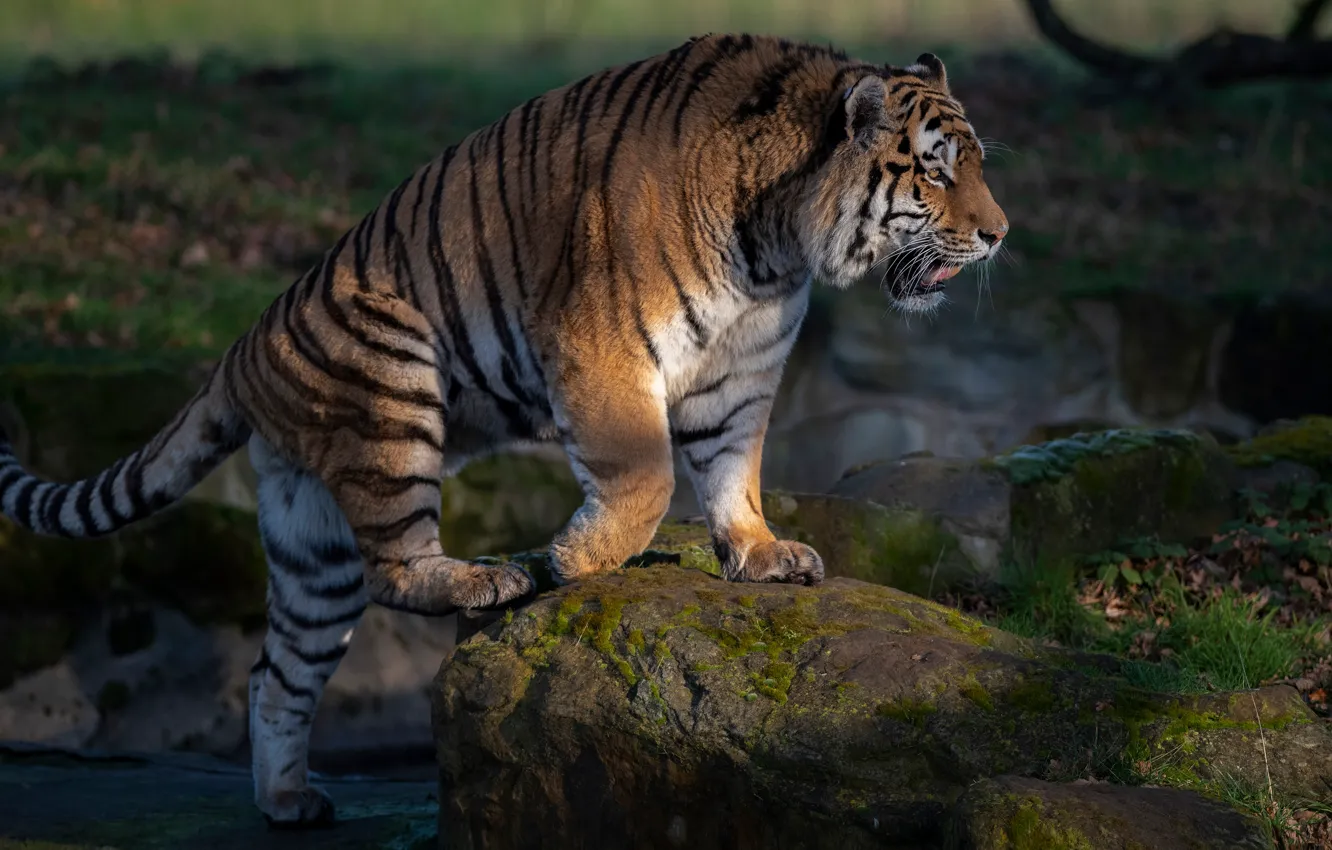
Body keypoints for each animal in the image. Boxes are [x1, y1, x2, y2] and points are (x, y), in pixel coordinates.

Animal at [0, 32, 1007, 826]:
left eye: (979, 163)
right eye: (935, 168)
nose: (999, 235)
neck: (778, 244)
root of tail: (240, 348)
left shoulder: (742, 370)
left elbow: (733, 470)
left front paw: (760, 554)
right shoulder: (603, 345)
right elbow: (646, 475)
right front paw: (577, 558)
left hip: (311, 542)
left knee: (277, 671)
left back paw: (287, 802)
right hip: (395, 379)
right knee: (398, 568)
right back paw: (492, 576)